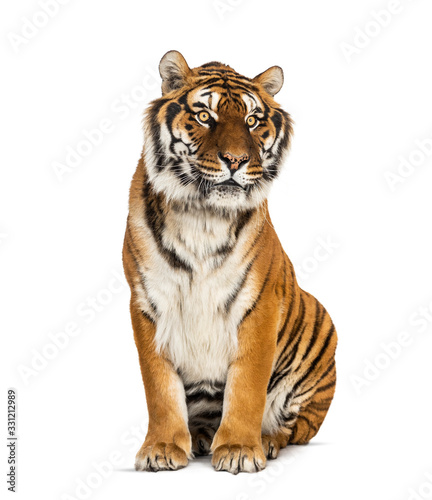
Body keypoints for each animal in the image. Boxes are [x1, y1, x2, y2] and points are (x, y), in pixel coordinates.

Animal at [121, 50, 338, 476]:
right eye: (205, 115)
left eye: (252, 121)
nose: (236, 161)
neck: (202, 215)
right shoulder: (148, 301)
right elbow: (159, 386)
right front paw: (162, 448)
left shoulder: (259, 304)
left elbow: (248, 385)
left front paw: (239, 448)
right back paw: (201, 436)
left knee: (294, 428)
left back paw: (265, 440)